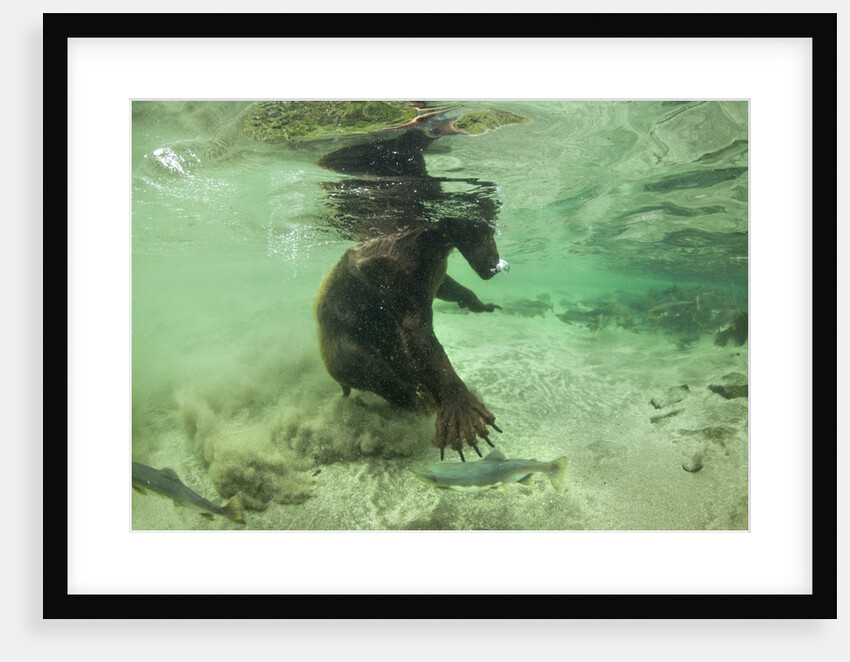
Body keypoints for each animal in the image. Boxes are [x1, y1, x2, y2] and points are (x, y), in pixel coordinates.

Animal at [314, 217, 508, 459]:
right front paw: (462, 410)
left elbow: (448, 286)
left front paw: (480, 304)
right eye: (485, 232)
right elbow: (417, 334)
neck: (434, 244)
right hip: (346, 348)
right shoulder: (401, 274)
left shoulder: (432, 272)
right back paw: (416, 405)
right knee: (383, 377)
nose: (494, 266)